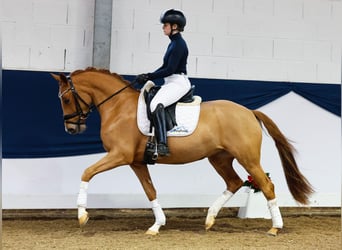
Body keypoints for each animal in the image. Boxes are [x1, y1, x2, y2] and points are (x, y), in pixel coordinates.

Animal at [51, 67, 312, 235]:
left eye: (66, 99)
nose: (71, 129)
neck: (119, 107)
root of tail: (249, 111)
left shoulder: (119, 155)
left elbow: (86, 172)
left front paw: (82, 216)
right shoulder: (137, 162)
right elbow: (150, 190)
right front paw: (157, 225)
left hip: (247, 158)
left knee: (266, 185)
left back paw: (275, 227)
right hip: (219, 158)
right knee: (235, 182)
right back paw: (209, 219)